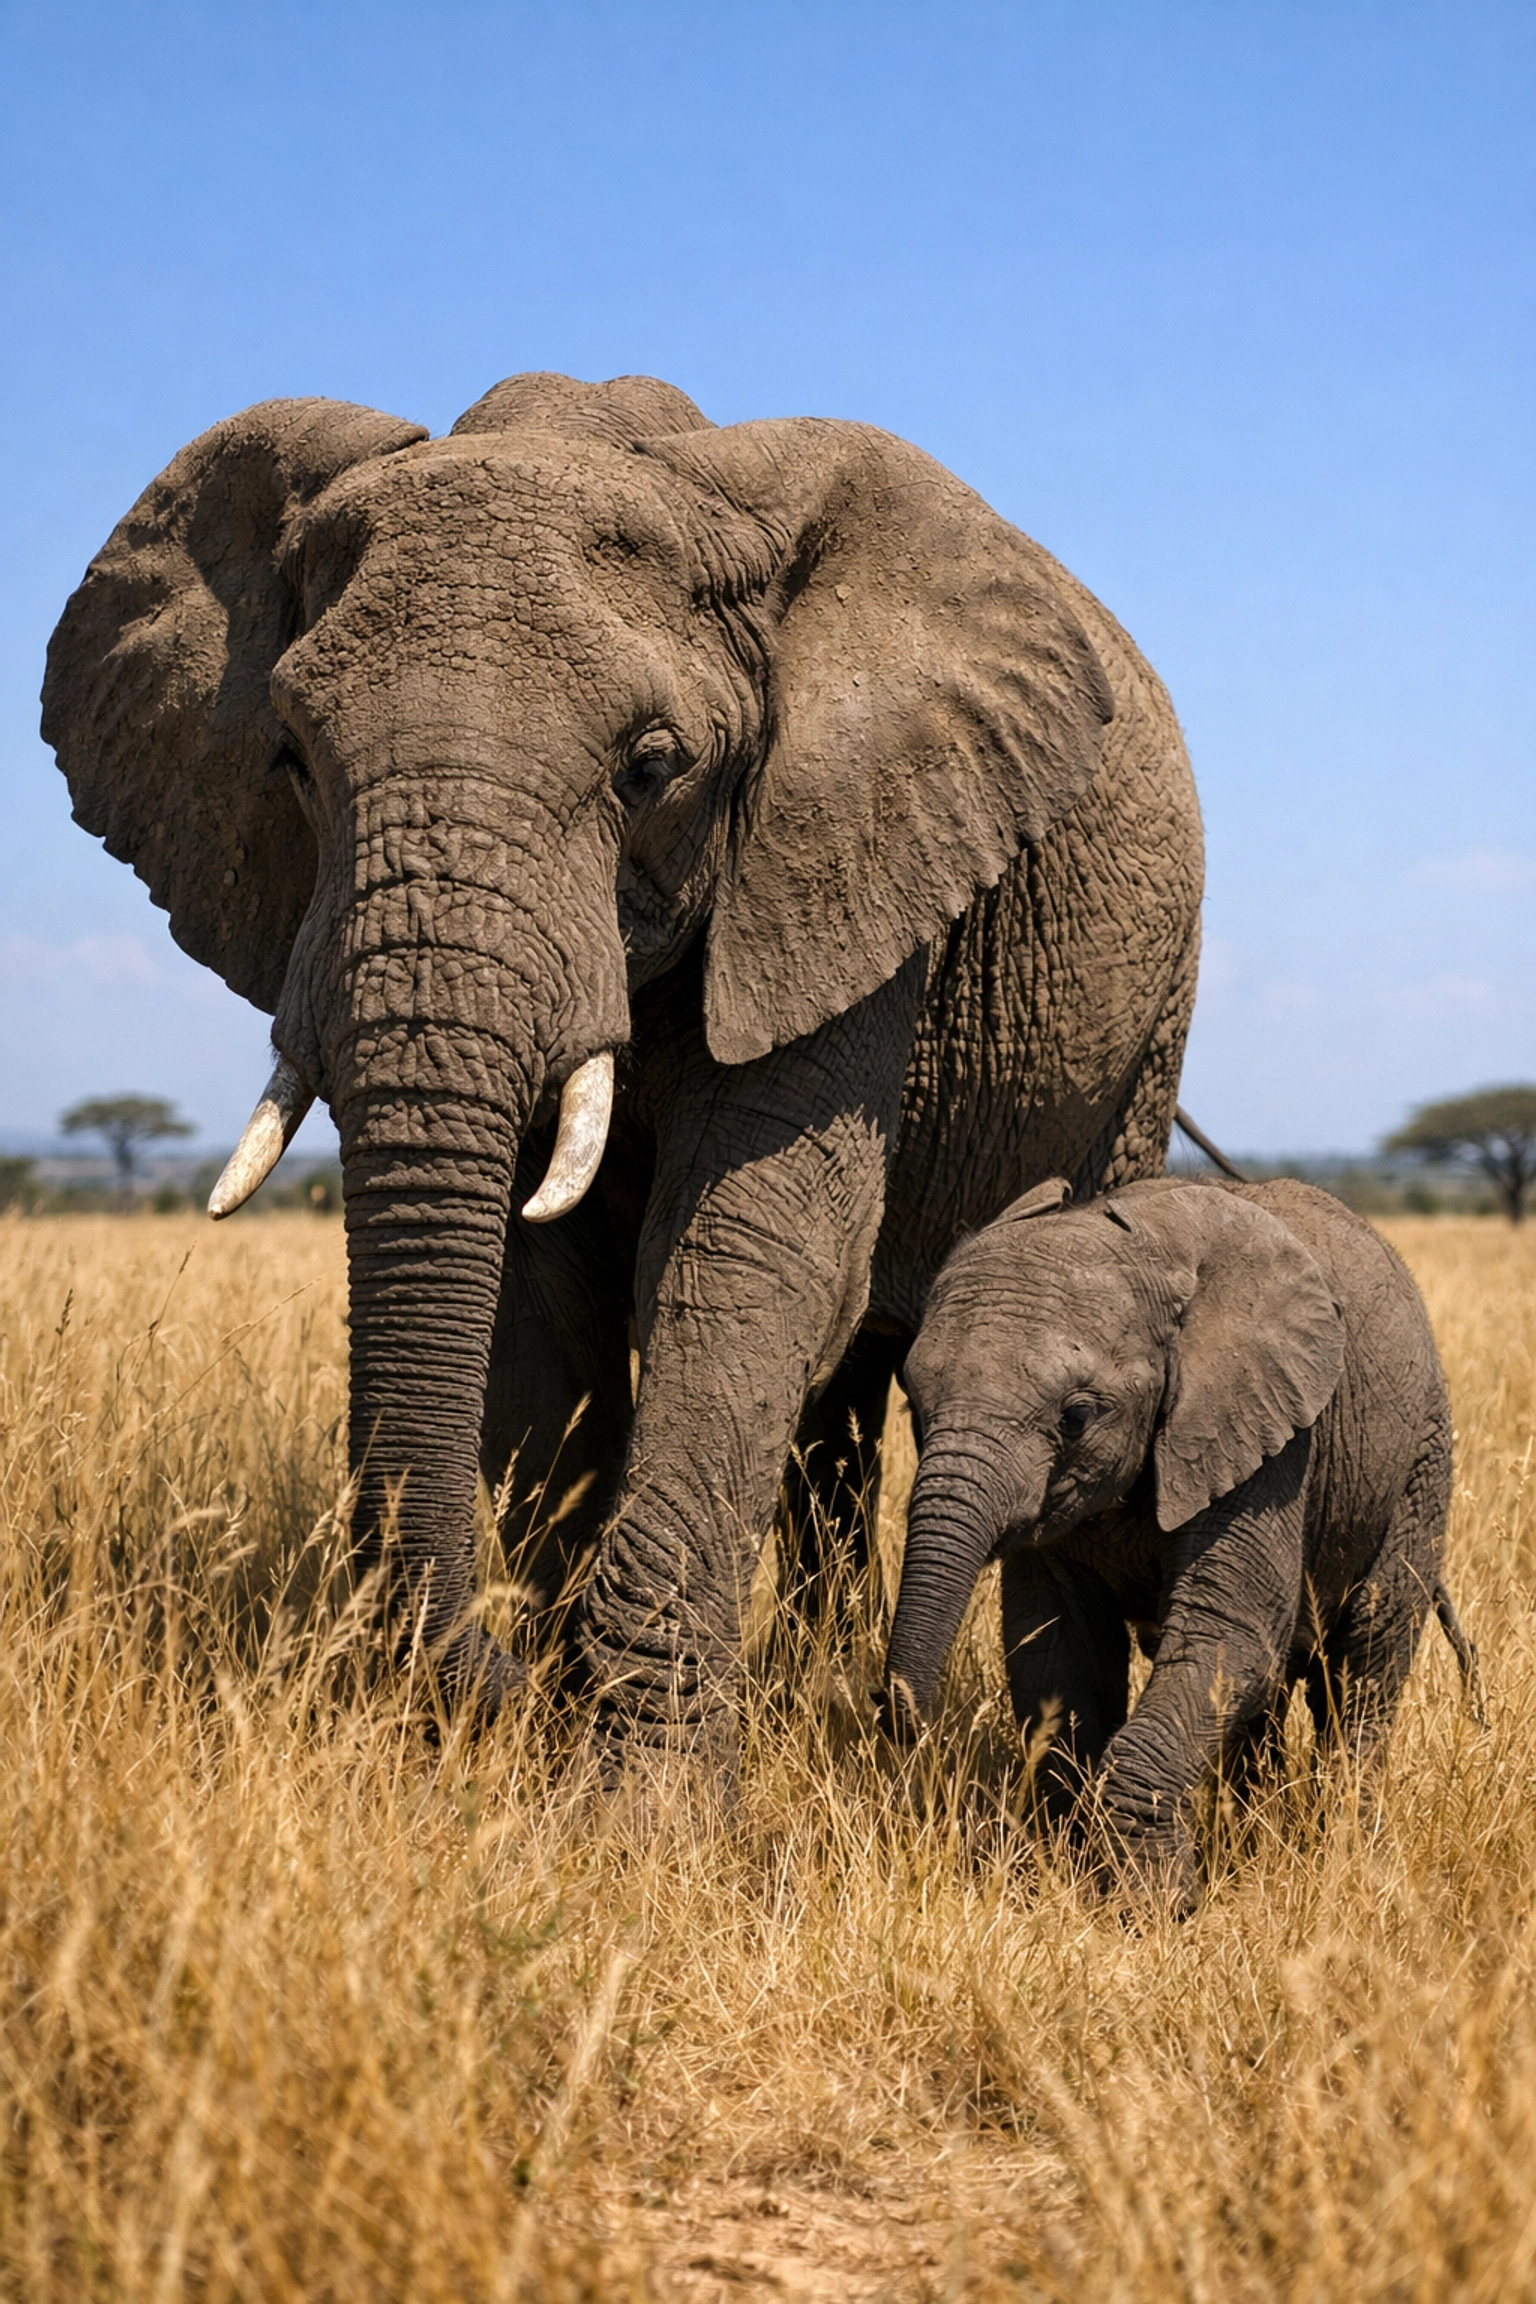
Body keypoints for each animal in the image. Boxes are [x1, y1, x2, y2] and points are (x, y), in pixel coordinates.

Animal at [42, 371, 1203, 1753]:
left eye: (651, 769)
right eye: (289, 758)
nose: (492, 1681)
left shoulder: (839, 857)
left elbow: (743, 1254)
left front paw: (647, 1779)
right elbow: (542, 1303)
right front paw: (554, 1724)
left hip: (1147, 1020)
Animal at [882, 1175, 1480, 1899]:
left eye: (1076, 1417)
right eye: (913, 1404)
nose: (898, 1719)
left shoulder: (1268, 1437)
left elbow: (1225, 1635)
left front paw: (1157, 1905)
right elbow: (1057, 1650)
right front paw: (1069, 1880)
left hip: (1419, 1460)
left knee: (1362, 1665)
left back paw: (1342, 1854)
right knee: (1271, 1698)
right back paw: (1254, 1842)